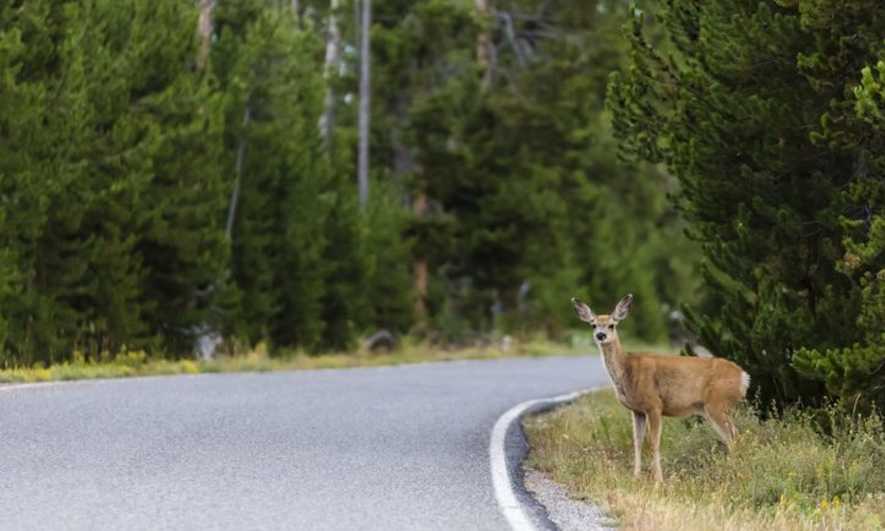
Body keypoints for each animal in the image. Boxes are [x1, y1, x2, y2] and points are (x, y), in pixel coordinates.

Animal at [571, 294, 750, 482]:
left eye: (612, 324)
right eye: (593, 324)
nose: (601, 335)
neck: (627, 371)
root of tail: (744, 376)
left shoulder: (654, 404)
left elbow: (654, 442)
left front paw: (658, 480)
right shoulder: (637, 410)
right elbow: (637, 442)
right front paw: (636, 477)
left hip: (717, 403)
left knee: (734, 435)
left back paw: (735, 472)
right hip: (710, 408)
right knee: (731, 436)